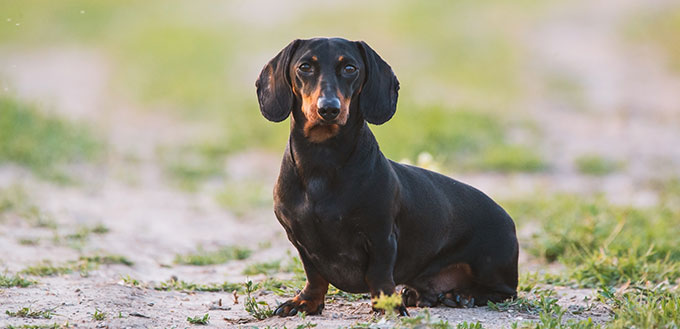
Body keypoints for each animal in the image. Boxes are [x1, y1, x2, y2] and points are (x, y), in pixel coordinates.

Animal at [254, 36, 516, 316]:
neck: (322, 161)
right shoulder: (301, 241)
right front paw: (306, 301)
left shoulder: (381, 235)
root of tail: (509, 219)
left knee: (503, 292)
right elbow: (314, 276)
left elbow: (379, 273)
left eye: (350, 68)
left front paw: (388, 304)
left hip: (490, 265)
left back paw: (462, 295)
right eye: (305, 67)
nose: (329, 109)